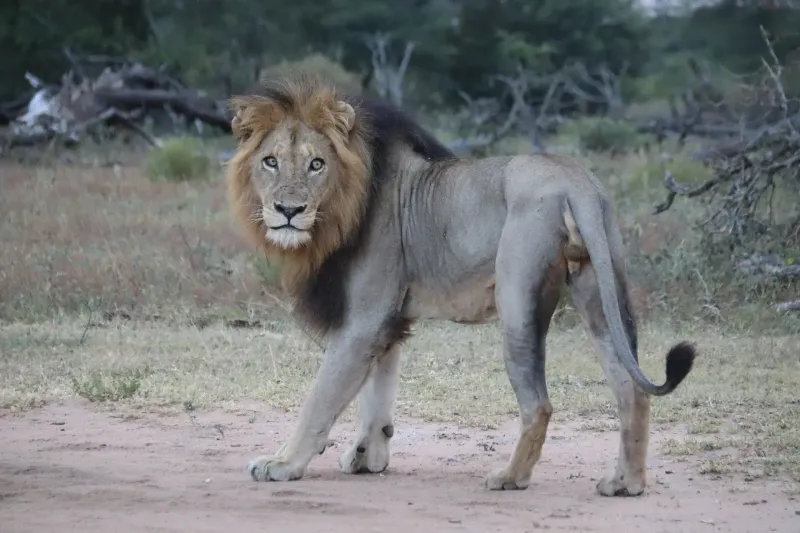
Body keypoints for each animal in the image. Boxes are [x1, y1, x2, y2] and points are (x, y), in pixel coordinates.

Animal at [226, 74, 696, 497]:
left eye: (316, 164)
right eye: (270, 161)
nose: (288, 210)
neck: (345, 203)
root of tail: (575, 181)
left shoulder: (363, 321)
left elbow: (321, 398)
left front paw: (282, 463)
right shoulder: (388, 321)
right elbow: (378, 392)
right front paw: (367, 456)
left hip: (518, 299)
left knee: (539, 404)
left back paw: (510, 477)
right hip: (600, 290)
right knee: (630, 389)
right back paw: (626, 483)